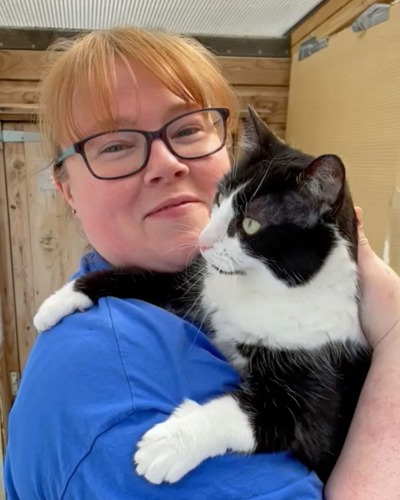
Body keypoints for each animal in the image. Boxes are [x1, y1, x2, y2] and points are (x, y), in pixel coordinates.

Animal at [33, 108, 372, 484]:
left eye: (251, 224)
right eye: (219, 200)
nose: (203, 242)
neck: (261, 289)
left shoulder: (318, 383)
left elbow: (254, 415)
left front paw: (170, 444)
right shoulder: (200, 288)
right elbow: (143, 277)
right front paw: (60, 300)